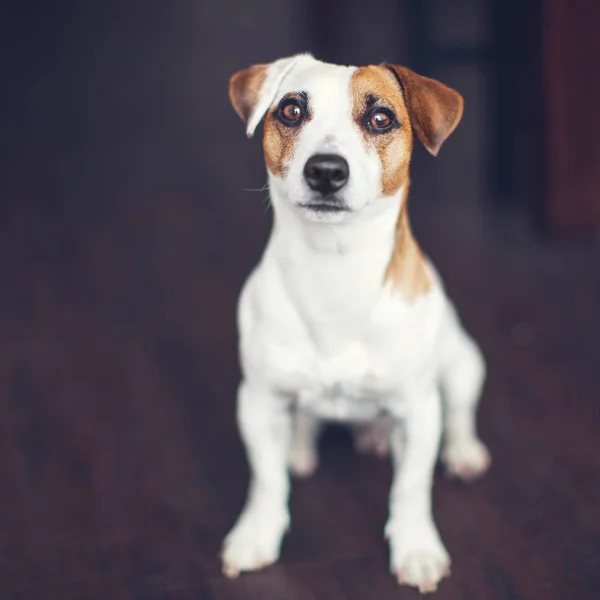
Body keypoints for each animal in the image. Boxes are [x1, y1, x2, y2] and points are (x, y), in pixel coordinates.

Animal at [220, 54, 488, 592]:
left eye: (381, 118)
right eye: (292, 110)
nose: (326, 170)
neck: (333, 268)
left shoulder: (418, 410)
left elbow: (411, 487)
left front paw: (416, 548)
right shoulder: (258, 400)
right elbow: (266, 480)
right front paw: (256, 535)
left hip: (464, 363)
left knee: (459, 411)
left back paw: (464, 452)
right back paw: (300, 445)